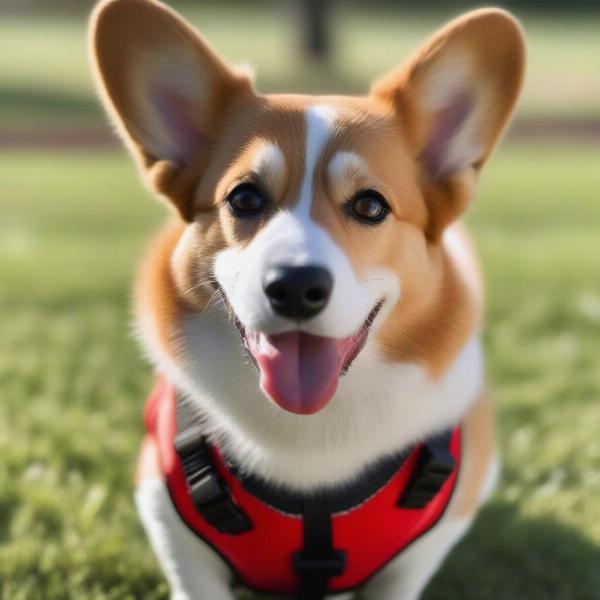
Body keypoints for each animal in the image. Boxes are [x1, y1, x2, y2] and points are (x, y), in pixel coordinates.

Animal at [89, 2, 524, 596]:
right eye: (244, 198)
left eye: (370, 206)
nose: (295, 286)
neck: (308, 435)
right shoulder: (168, 519)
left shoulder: (423, 549)